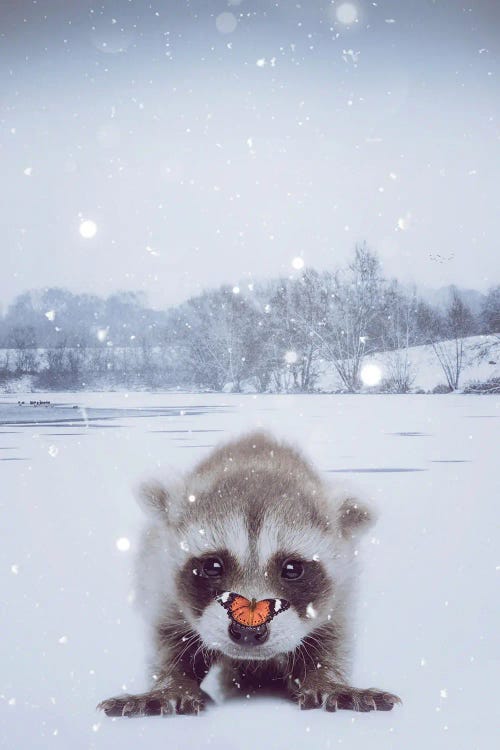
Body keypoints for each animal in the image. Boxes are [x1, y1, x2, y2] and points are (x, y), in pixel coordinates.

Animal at [98, 432, 402, 720]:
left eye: (292, 569)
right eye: (212, 566)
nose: (248, 631)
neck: (257, 458)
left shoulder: (343, 592)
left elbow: (332, 640)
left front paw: (327, 680)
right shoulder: (159, 578)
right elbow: (168, 639)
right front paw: (171, 685)